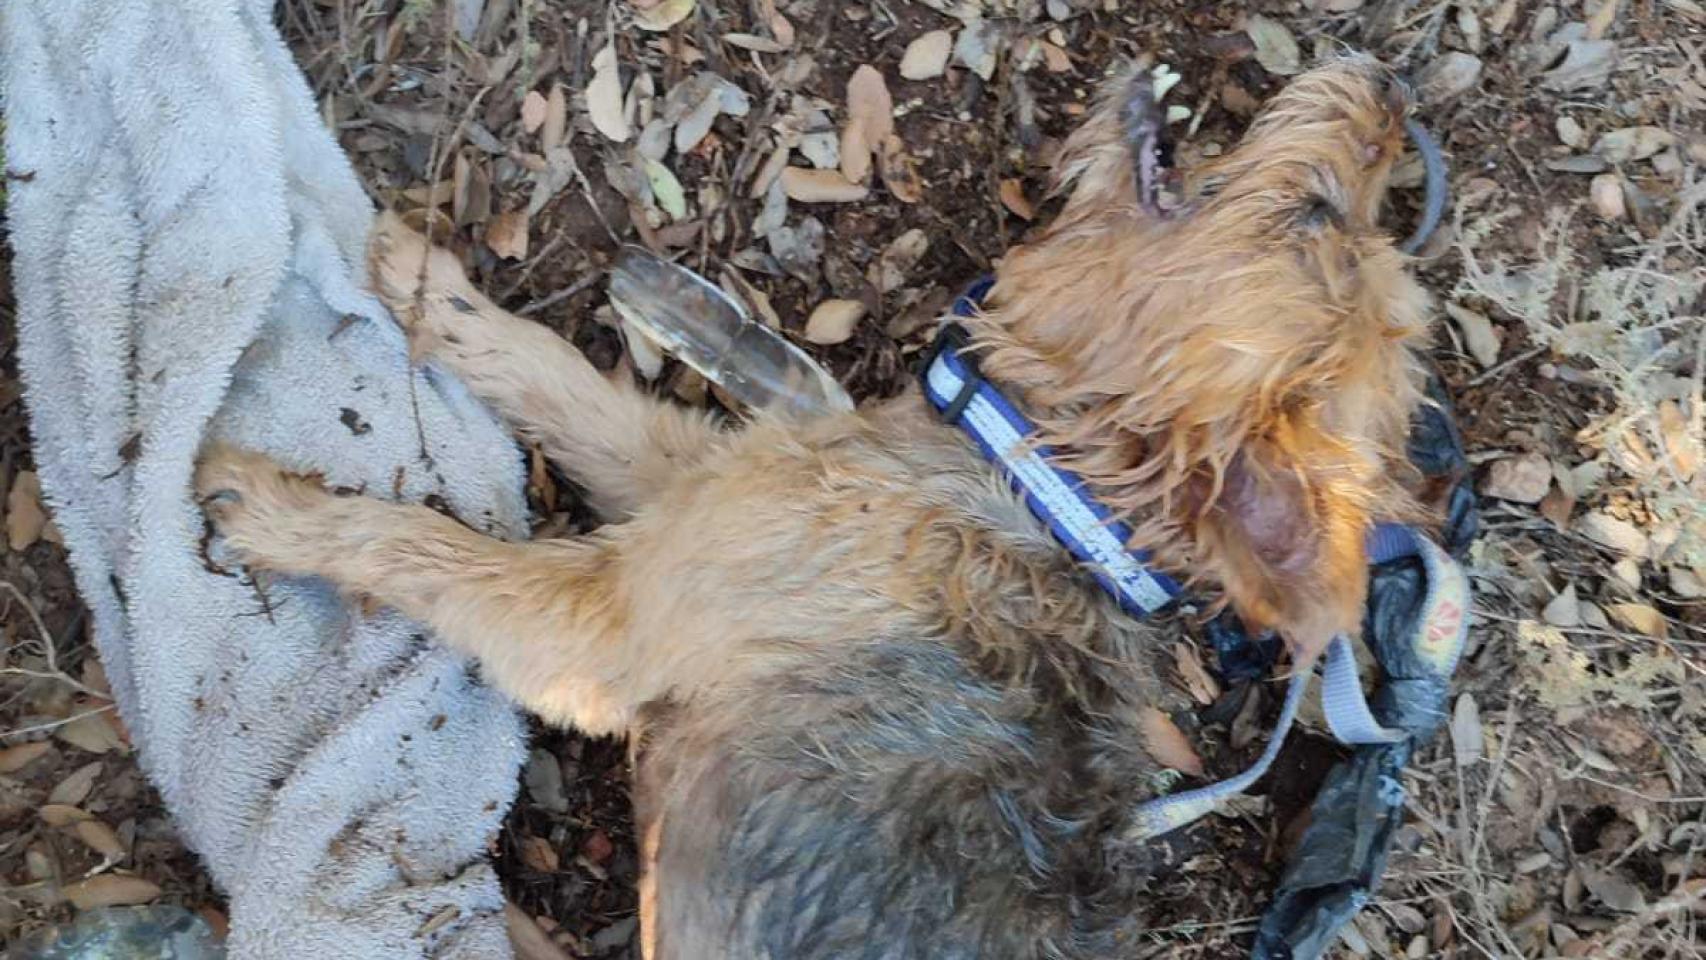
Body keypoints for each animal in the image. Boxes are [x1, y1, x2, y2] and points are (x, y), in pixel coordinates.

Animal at [193, 56, 1433, 954]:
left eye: (1310, 214)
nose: (1391, 92)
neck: (1039, 489)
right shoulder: (692, 478)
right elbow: (561, 376)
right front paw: (427, 288)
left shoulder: (603, 626)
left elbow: (432, 549)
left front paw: (273, 506)